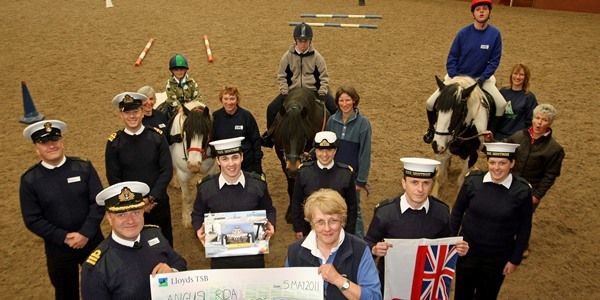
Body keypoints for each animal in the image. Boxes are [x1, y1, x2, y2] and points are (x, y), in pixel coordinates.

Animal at [168, 99, 217, 229]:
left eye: (206, 132)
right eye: (186, 132)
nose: (194, 164)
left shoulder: (210, 171)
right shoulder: (183, 175)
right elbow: (187, 197)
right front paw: (187, 218)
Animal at [272, 86, 328, 220]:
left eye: (304, 135)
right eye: (283, 134)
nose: (293, 169)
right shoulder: (284, 164)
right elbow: (291, 186)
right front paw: (291, 213)